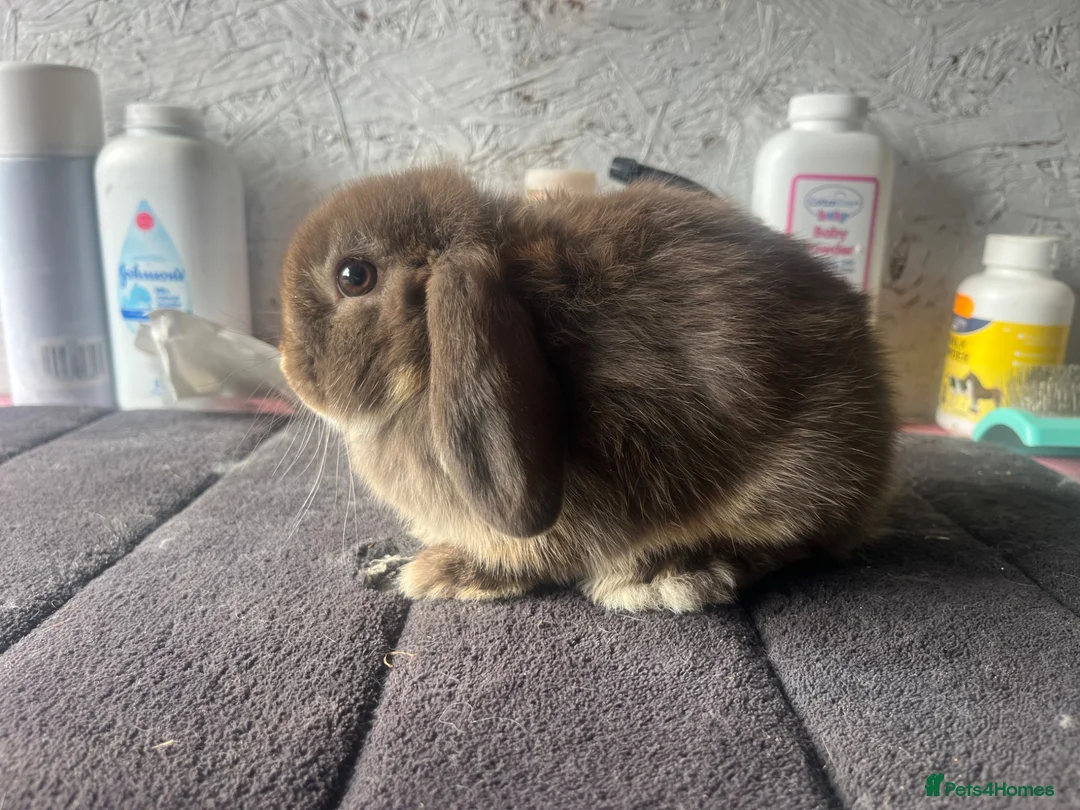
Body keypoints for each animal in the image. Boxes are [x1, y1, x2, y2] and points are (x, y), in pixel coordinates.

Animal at [278, 165, 897, 613]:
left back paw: (667, 574)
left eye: (353, 276)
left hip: (796, 476)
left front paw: (441, 574)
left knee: (789, 541)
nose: (288, 369)